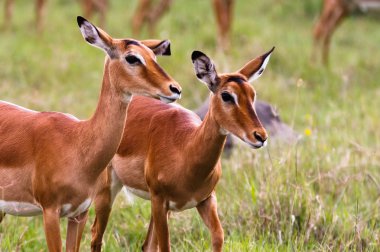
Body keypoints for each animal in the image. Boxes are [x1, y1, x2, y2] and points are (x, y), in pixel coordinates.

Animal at [0, 16, 181, 251]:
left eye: (153, 57)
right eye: (132, 58)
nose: (175, 89)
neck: (78, 142)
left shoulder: (80, 213)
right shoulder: (50, 212)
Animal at [89, 46, 274, 250]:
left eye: (252, 94)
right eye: (226, 95)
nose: (260, 136)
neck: (185, 149)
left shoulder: (206, 200)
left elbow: (218, 236)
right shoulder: (160, 200)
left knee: (147, 245)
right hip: (109, 189)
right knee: (96, 234)